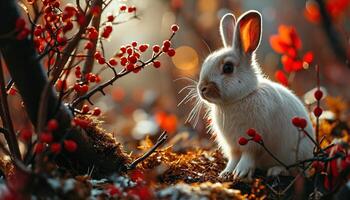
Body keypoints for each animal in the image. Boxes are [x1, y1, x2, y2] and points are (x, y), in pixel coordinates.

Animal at [197, 10, 314, 180]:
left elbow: (247, 157)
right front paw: (225, 173)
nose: (202, 88)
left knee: (295, 171)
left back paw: (276, 170)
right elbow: (233, 159)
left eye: (228, 68)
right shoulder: (233, 147)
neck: (240, 98)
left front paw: (240, 173)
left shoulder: (253, 143)